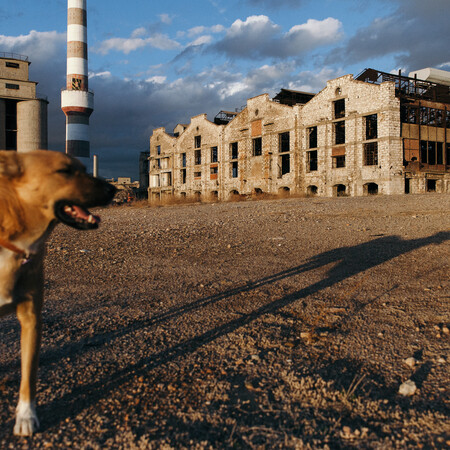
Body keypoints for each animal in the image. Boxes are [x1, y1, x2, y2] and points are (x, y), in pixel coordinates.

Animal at [0, 151, 116, 436]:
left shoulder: (32, 319)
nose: (114, 189)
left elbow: (29, 375)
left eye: (84, 168)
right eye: (64, 171)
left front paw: (26, 416)